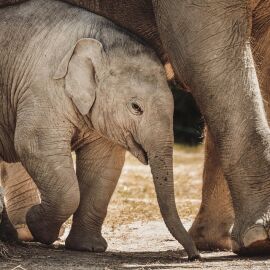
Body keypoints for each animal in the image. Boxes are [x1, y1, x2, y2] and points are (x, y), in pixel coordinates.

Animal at [2, 0, 270, 255]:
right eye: (136, 107)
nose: (193, 257)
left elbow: (105, 162)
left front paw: (88, 247)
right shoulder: (43, 90)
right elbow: (33, 145)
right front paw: (41, 228)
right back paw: (19, 232)